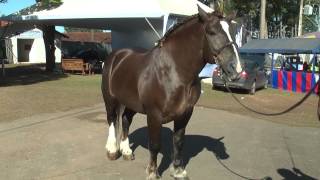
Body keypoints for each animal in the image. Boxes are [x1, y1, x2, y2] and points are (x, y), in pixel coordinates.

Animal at [101, 5, 241, 180]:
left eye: (233, 32)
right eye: (212, 32)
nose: (236, 69)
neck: (173, 72)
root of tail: (117, 55)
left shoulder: (185, 113)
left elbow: (178, 142)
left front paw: (178, 171)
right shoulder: (154, 115)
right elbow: (155, 144)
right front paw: (152, 173)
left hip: (131, 103)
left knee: (126, 120)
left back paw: (126, 151)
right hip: (110, 99)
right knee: (112, 120)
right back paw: (112, 150)